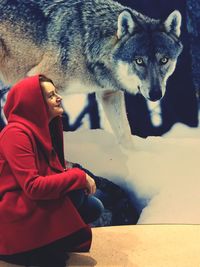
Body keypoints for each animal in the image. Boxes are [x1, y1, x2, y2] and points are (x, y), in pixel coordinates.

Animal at [0, 0, 182, 148]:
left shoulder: (110, 94)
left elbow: (125, 136)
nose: (156, 94)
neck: (87, 45)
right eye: (139, 61)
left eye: (164, 60)